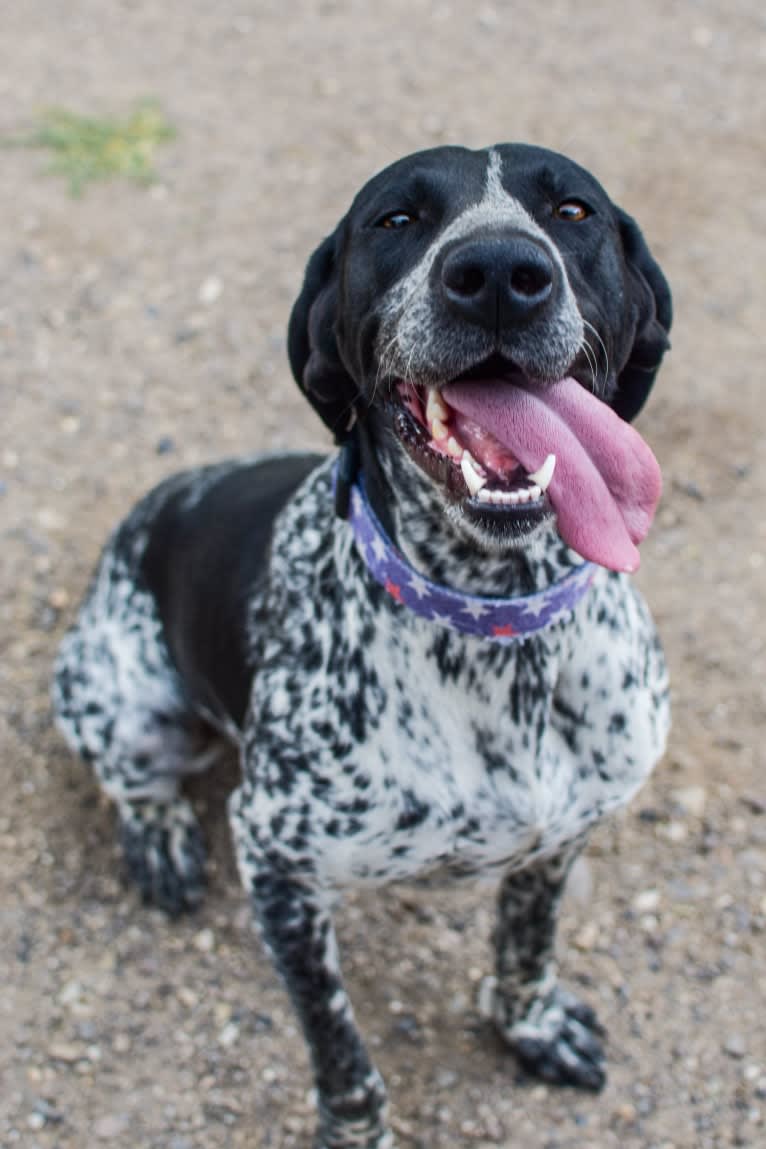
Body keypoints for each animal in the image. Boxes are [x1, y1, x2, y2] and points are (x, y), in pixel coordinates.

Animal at [53, 143, 675, 1149]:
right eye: (396, 220)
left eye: (573, 209)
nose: (498, 272)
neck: (494, 619)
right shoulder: (279, 865)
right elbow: (340, 1049)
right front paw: (357, 1129)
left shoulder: (563, 836)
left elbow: (527, 941)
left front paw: (529, 1022)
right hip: (120, 701)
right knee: (134, 778)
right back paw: (159, 835)